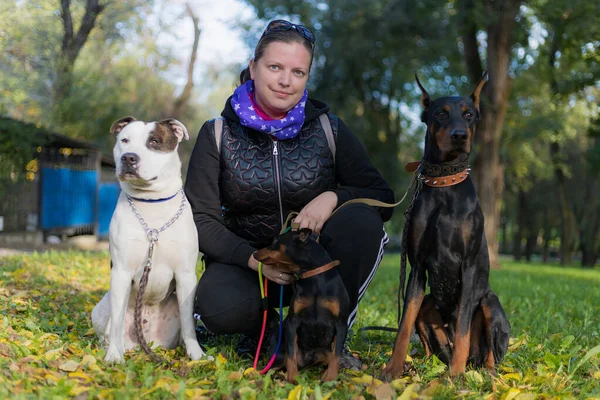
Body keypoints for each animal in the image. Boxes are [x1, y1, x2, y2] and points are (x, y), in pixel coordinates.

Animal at [91, 115, 204, 362]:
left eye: (154, 141)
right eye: (124, 140)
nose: (129, 157)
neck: (151, 203)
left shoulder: (186, 275)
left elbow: (189, 324)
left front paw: (197, 355)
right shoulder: (121, 272)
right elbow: (116, 323)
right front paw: (114, 356)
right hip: (101, 308)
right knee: (109, 327)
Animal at [254, 228, 350, 382]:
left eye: (275, 241)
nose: (254, 253)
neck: (313, 276)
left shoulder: (341, 323)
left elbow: (336, 355)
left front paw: (330, 379)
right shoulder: (293, 322)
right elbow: (291, 354)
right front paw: (293, 378)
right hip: (278, 348)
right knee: (273, 366)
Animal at [384, 71, 510, 378]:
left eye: (468, 115)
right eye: (440, 113)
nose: (459, 136)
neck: (444, 184)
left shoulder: (469, 267)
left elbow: (463, 327)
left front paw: (454, 376)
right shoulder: (417, 267)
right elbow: (404, 325)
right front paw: (393, 368)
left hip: (489, 302)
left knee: (489, 353)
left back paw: (482, 372)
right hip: (430, 301)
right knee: (432, 344)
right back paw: (420, 363)